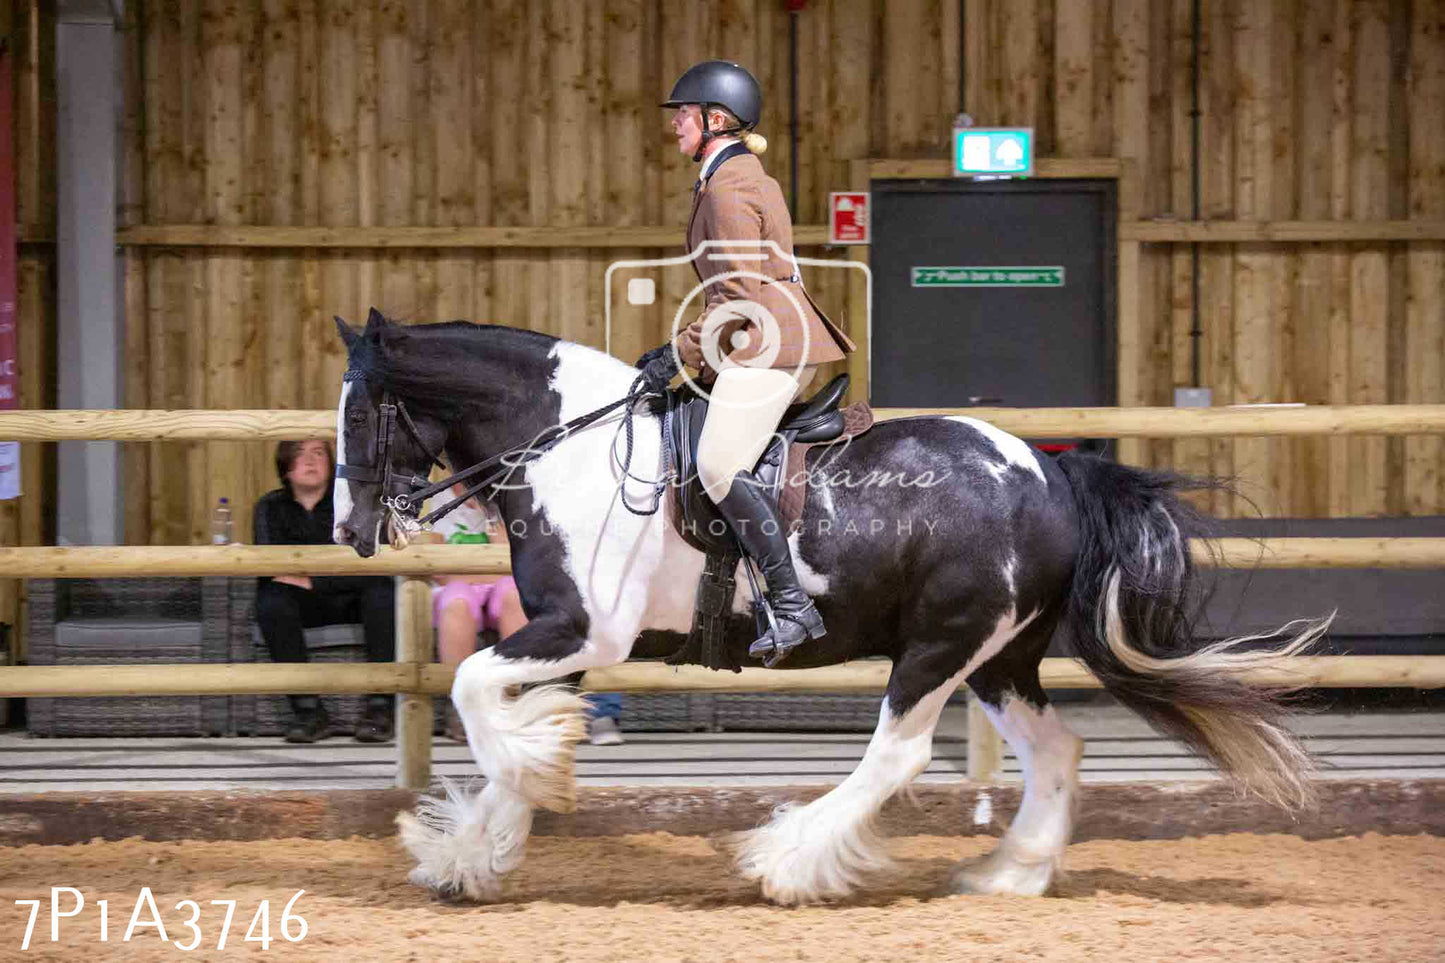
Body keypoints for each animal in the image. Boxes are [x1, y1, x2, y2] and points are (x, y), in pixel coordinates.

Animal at [332, 310, 1323, 902]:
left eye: (358, 415)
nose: (349, 527)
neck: (566, 447)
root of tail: (1050, 471)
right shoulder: (561, 640)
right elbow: (505, 724)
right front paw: (471, 851)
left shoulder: (583, 630)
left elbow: (471, 691)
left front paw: (515, 799)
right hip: (999, 657)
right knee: (1056, 750)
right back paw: (1009, 872)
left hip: (939, 647)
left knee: (899, 753)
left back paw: (788, 858)